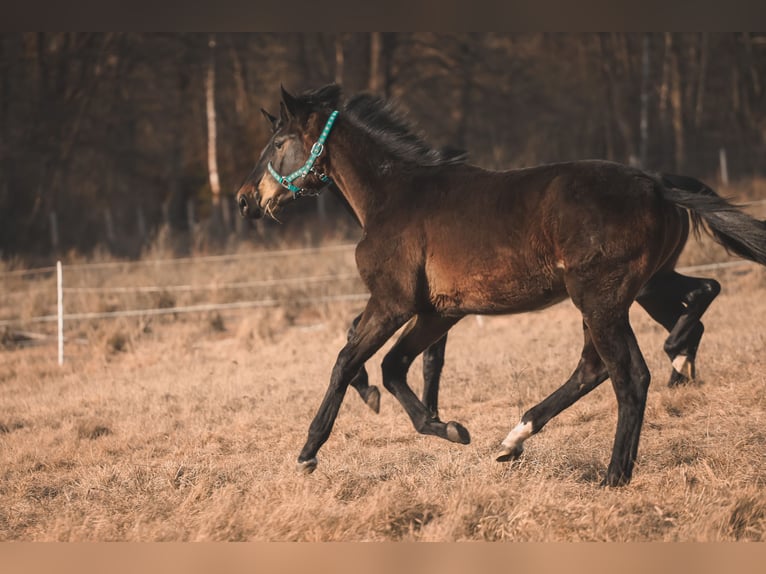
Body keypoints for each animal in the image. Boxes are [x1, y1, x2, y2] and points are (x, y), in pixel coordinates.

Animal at [237, 84, 766, 486]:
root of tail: (658, 186)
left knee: (629, 376)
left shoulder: (392, 302)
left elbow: (347, 360)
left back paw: (614, 473)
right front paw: (448, 428)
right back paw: (515, 440)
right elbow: (395, 365)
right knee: (611, 355)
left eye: (279, 142)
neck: (393, 196)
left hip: (602, 299)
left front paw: (307, 452)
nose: (246, 199)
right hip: (622, 294)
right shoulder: (438, 310)